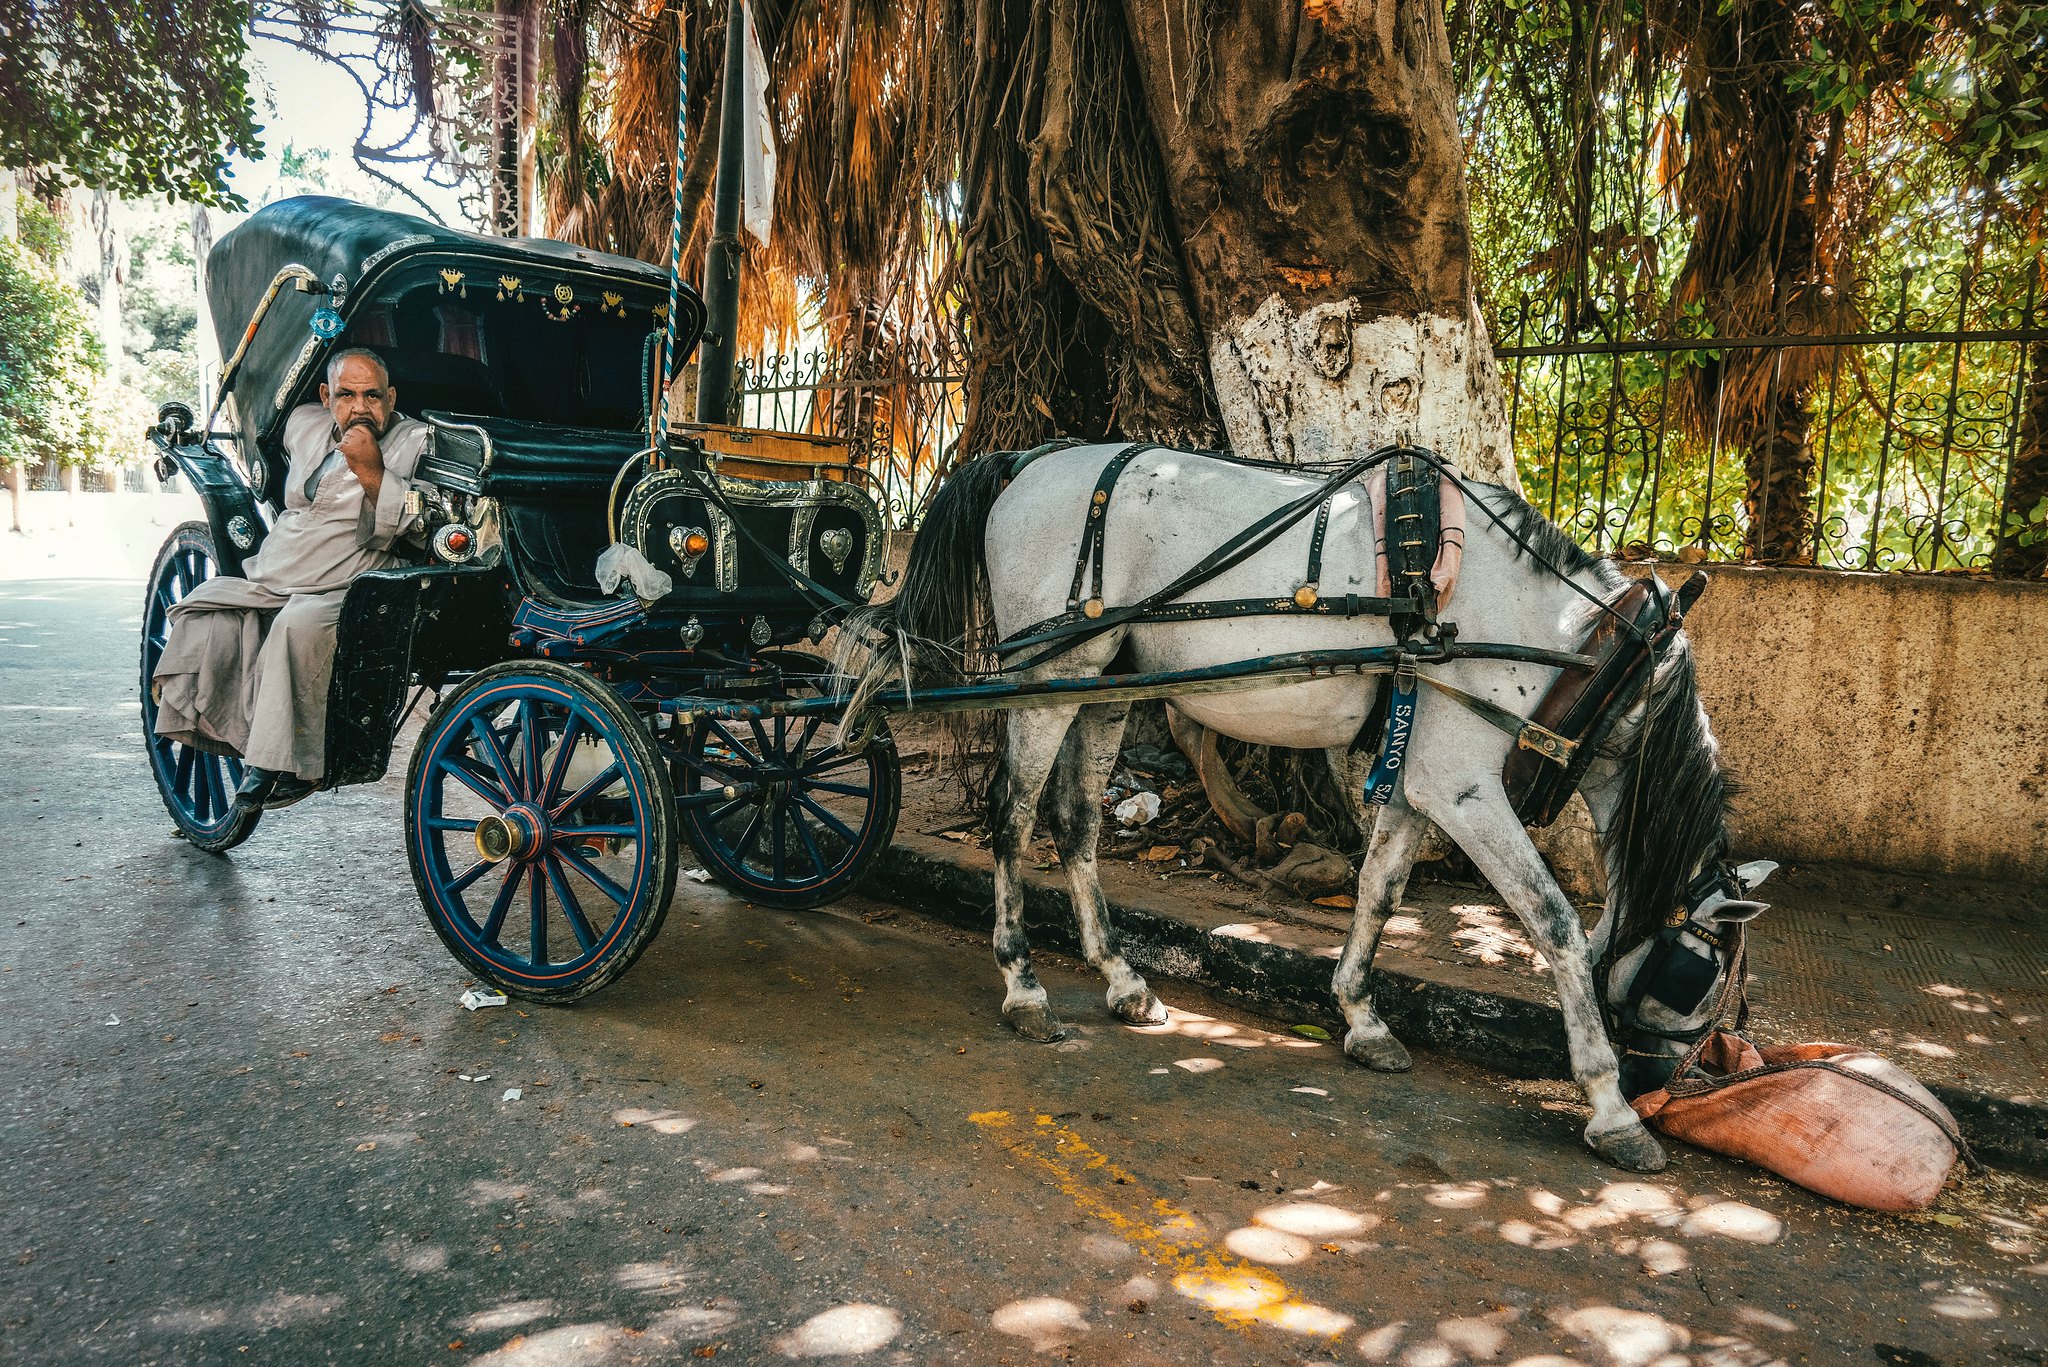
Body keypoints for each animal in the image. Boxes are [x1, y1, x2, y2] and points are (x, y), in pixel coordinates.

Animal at [856, 444, 1769, 1172]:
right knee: (1012, 819)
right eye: (1695, 979)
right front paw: (1611, 1109)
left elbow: (1379, 891)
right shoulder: (1463, 786)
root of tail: (1028, 458)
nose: (1657, 1086)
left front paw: (1362, 1017)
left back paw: (1121, 977)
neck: (1573, 648)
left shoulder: (1417, 780)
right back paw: (1023, 985)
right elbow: (1556, 925)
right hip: (1047, 675)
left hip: (1107, 679)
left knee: (1076, 820)